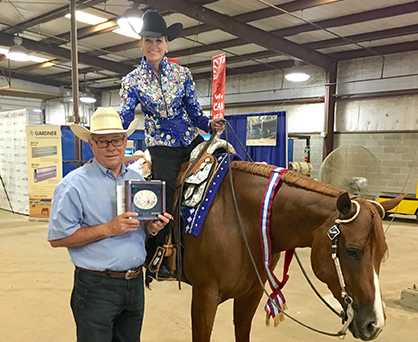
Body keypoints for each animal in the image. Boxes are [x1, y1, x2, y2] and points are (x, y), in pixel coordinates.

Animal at [180, 160, 404, 342]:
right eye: (352, 251)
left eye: (383, 253)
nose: (375, 325)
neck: (237, 217)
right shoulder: (205, 297)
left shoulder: (251, 294)